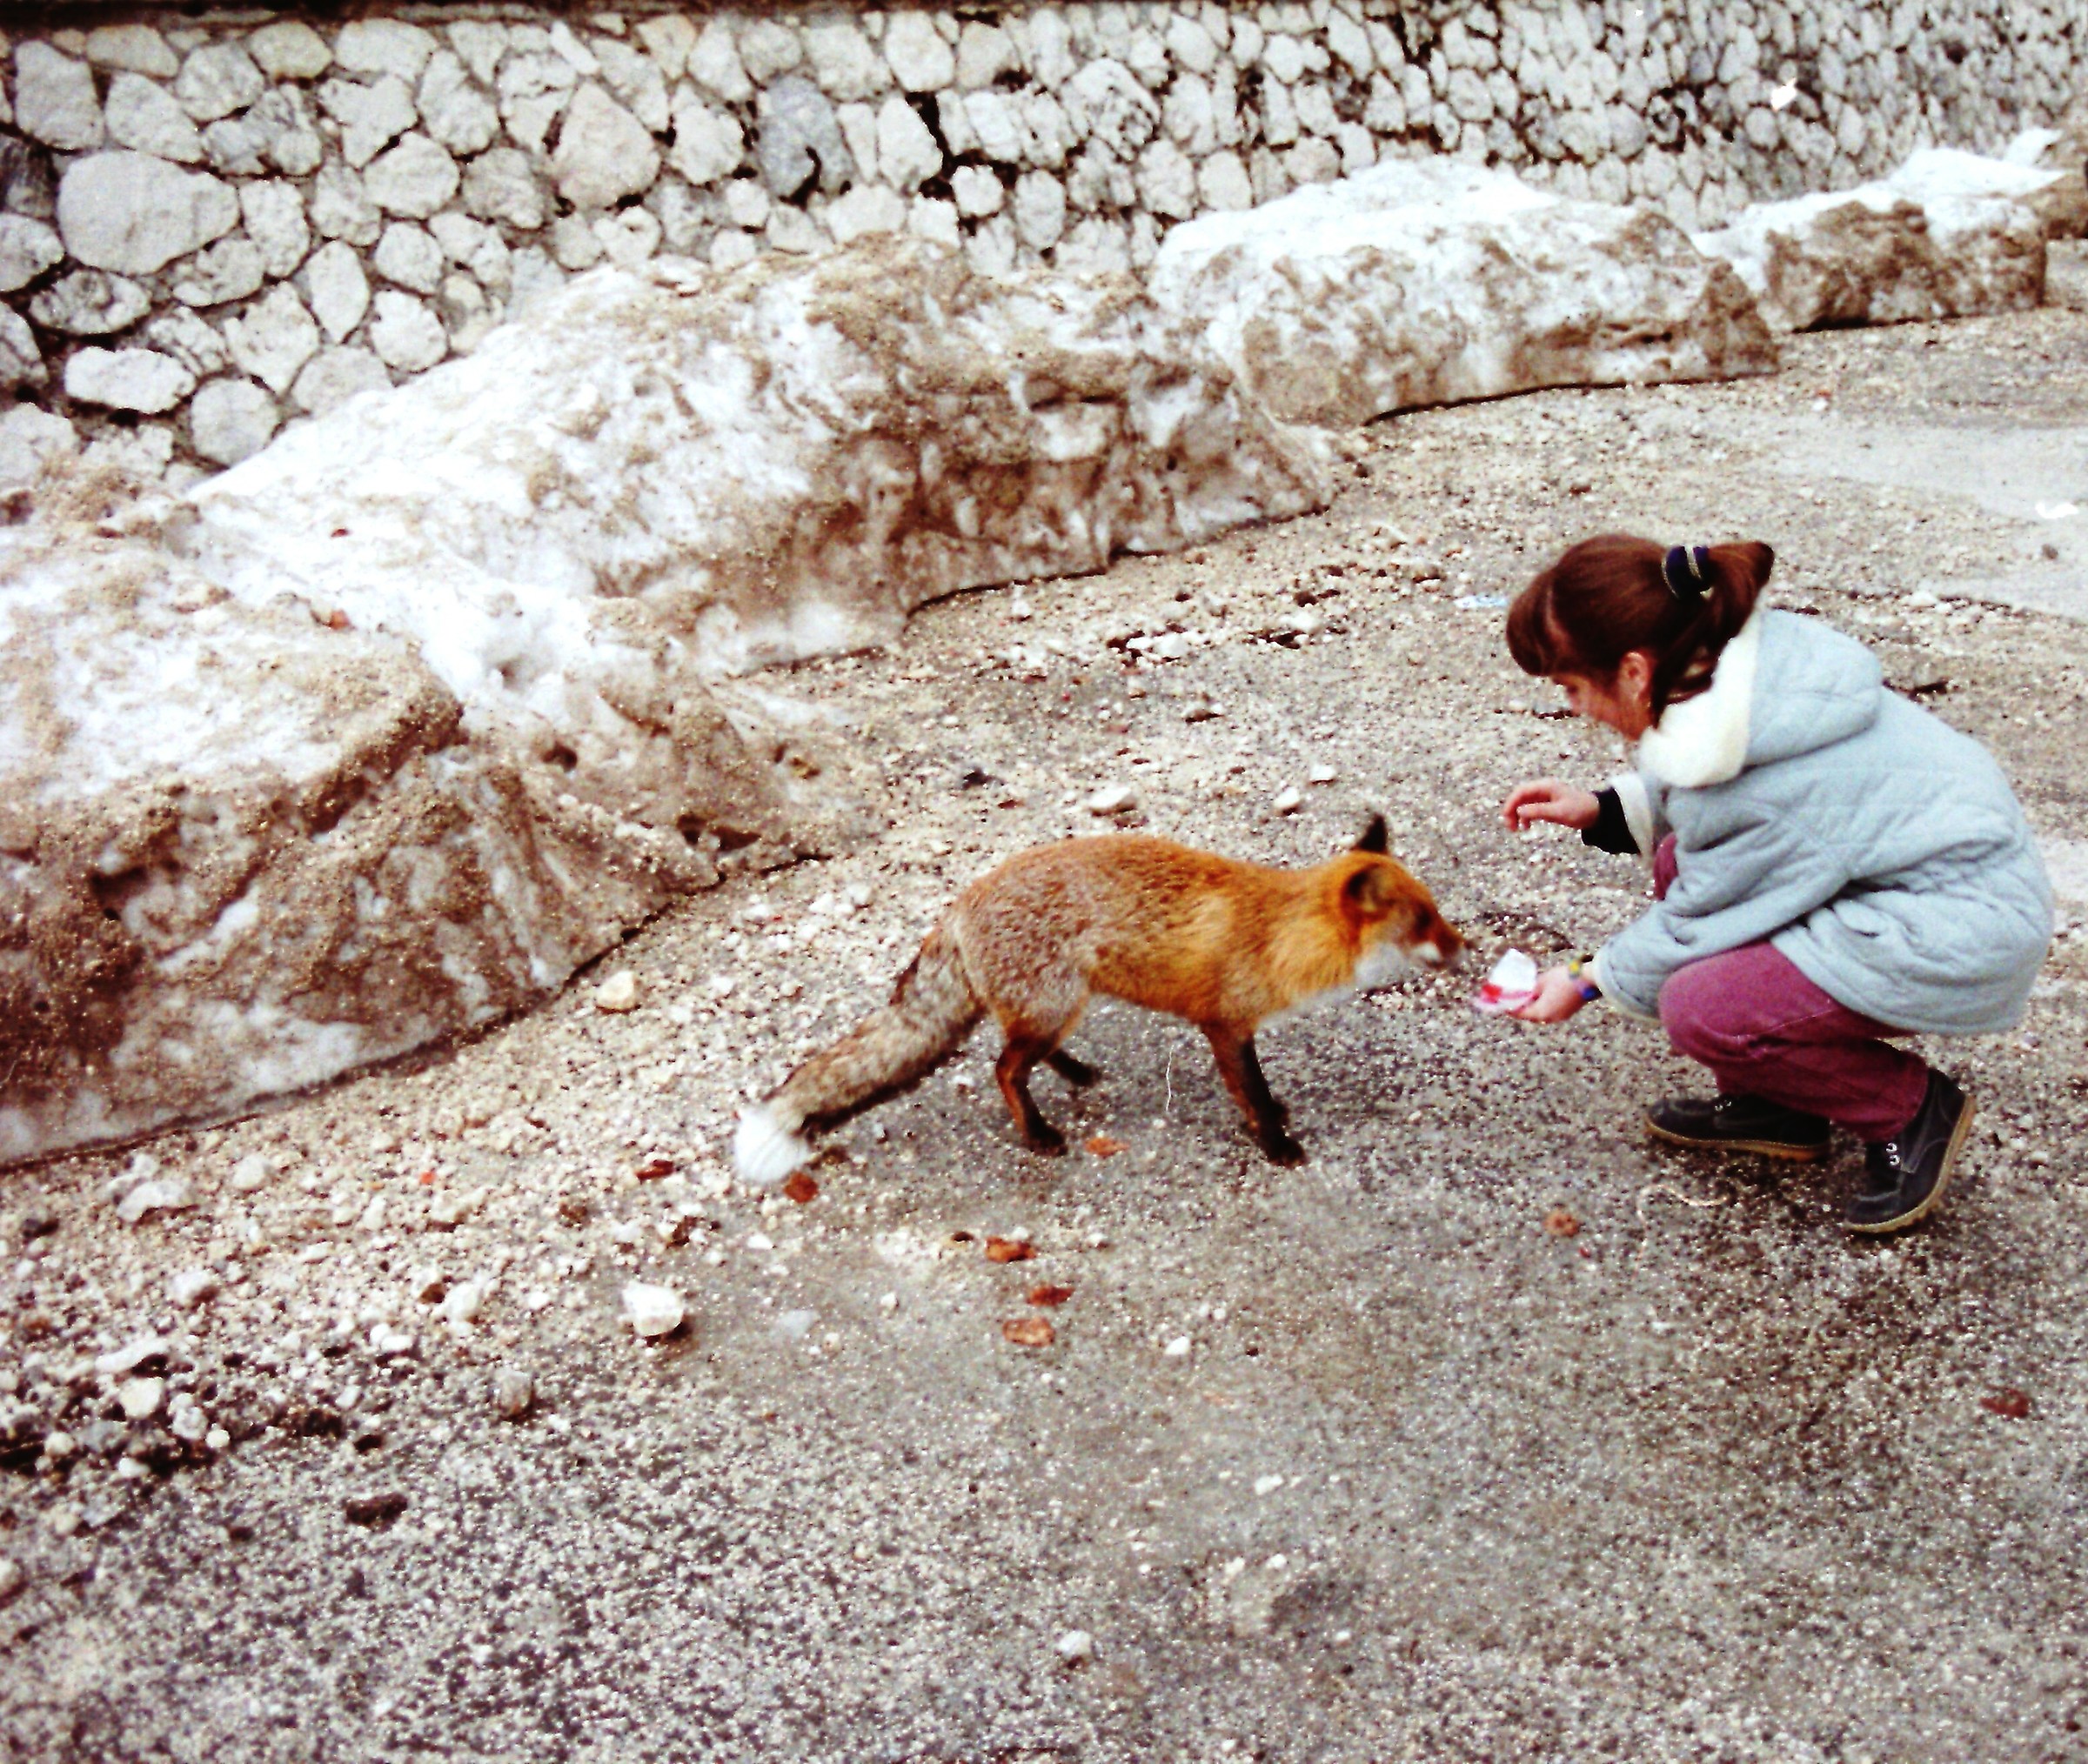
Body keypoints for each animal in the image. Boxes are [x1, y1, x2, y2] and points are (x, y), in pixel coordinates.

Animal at [732, 814, 1462, 1184]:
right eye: (1425, 922)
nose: (1466, 946)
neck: (1278, 932)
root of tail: (961, 904)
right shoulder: (1223, 1023)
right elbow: (1249, 1090)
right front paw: (1274, 1142)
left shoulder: (1238, 1028)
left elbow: (1256, 1085)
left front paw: (1274, 1117)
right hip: (1055, 1004)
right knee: (1004, 1068)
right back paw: (1037, 1134)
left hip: (1059, 1007)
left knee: (1021, 1054)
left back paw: (1076, 1073)